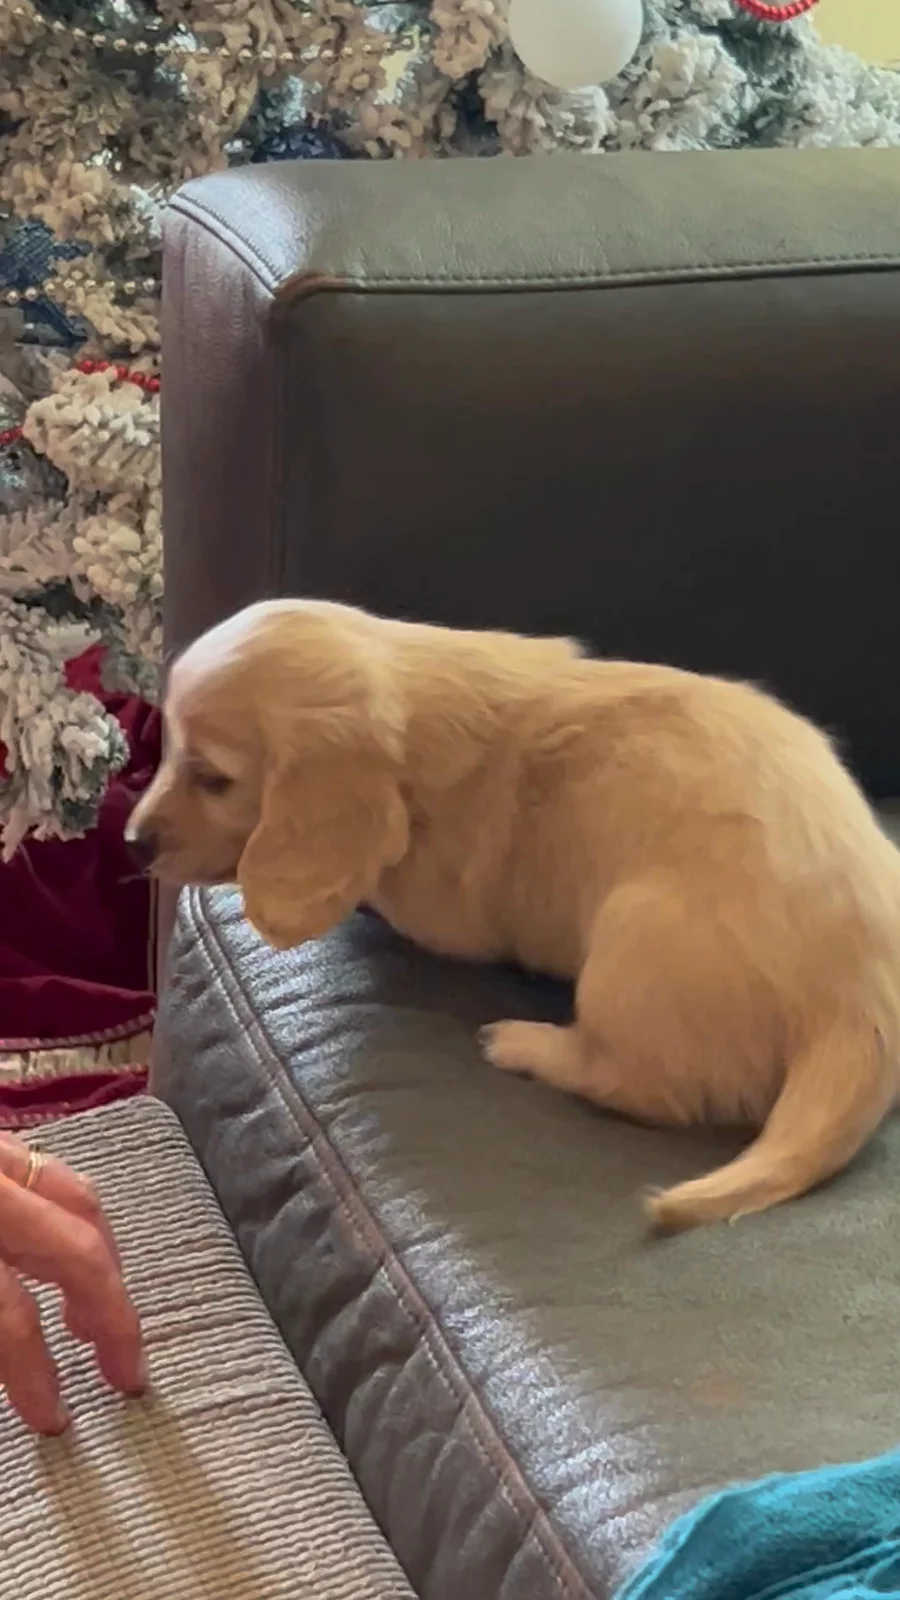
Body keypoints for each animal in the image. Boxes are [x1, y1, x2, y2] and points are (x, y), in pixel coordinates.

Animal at [128, 599, 900, 1230]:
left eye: (216, 779)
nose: (133, 843)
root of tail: (860, 1008)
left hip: (632, 946)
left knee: (642, 1086)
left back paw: (526, 1044)